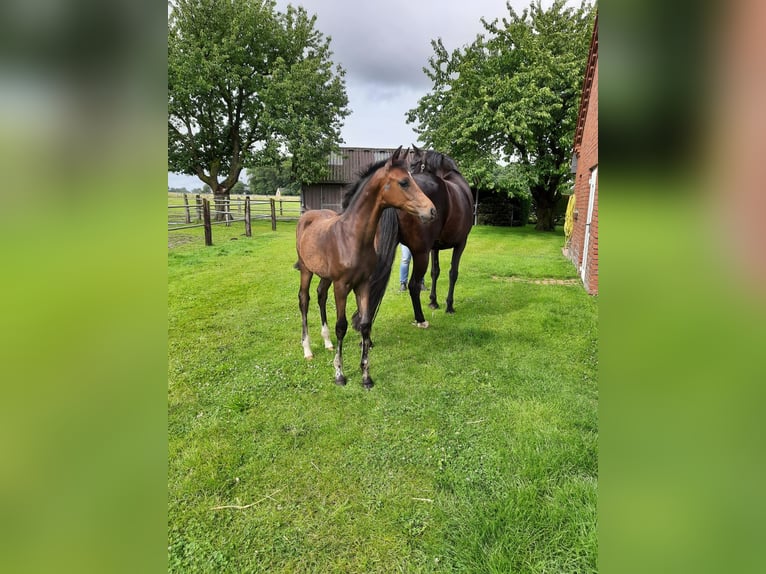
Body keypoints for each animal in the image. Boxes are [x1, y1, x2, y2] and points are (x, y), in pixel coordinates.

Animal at [296, 148, 438, 392]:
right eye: (404, 182)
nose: (431, 210)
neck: (352, 237)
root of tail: (306, 215)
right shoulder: (342, 286)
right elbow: (342, 326)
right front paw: (339, 374)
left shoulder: (362, 284)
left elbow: (364, 324)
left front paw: (366, 376)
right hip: (306, 270)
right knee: (304, 300)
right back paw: (308, 350)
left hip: (325, 276)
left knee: (321, 295)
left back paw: (327, 342)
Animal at [354, 146, 474, 330]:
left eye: (414, 164)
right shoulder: (460, 243)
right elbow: (453, 273)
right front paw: (449, 305)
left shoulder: (434, 248)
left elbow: (435, 272)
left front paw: (433, 302)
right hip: (420, 254)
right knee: (413, 285)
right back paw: (420, 319)